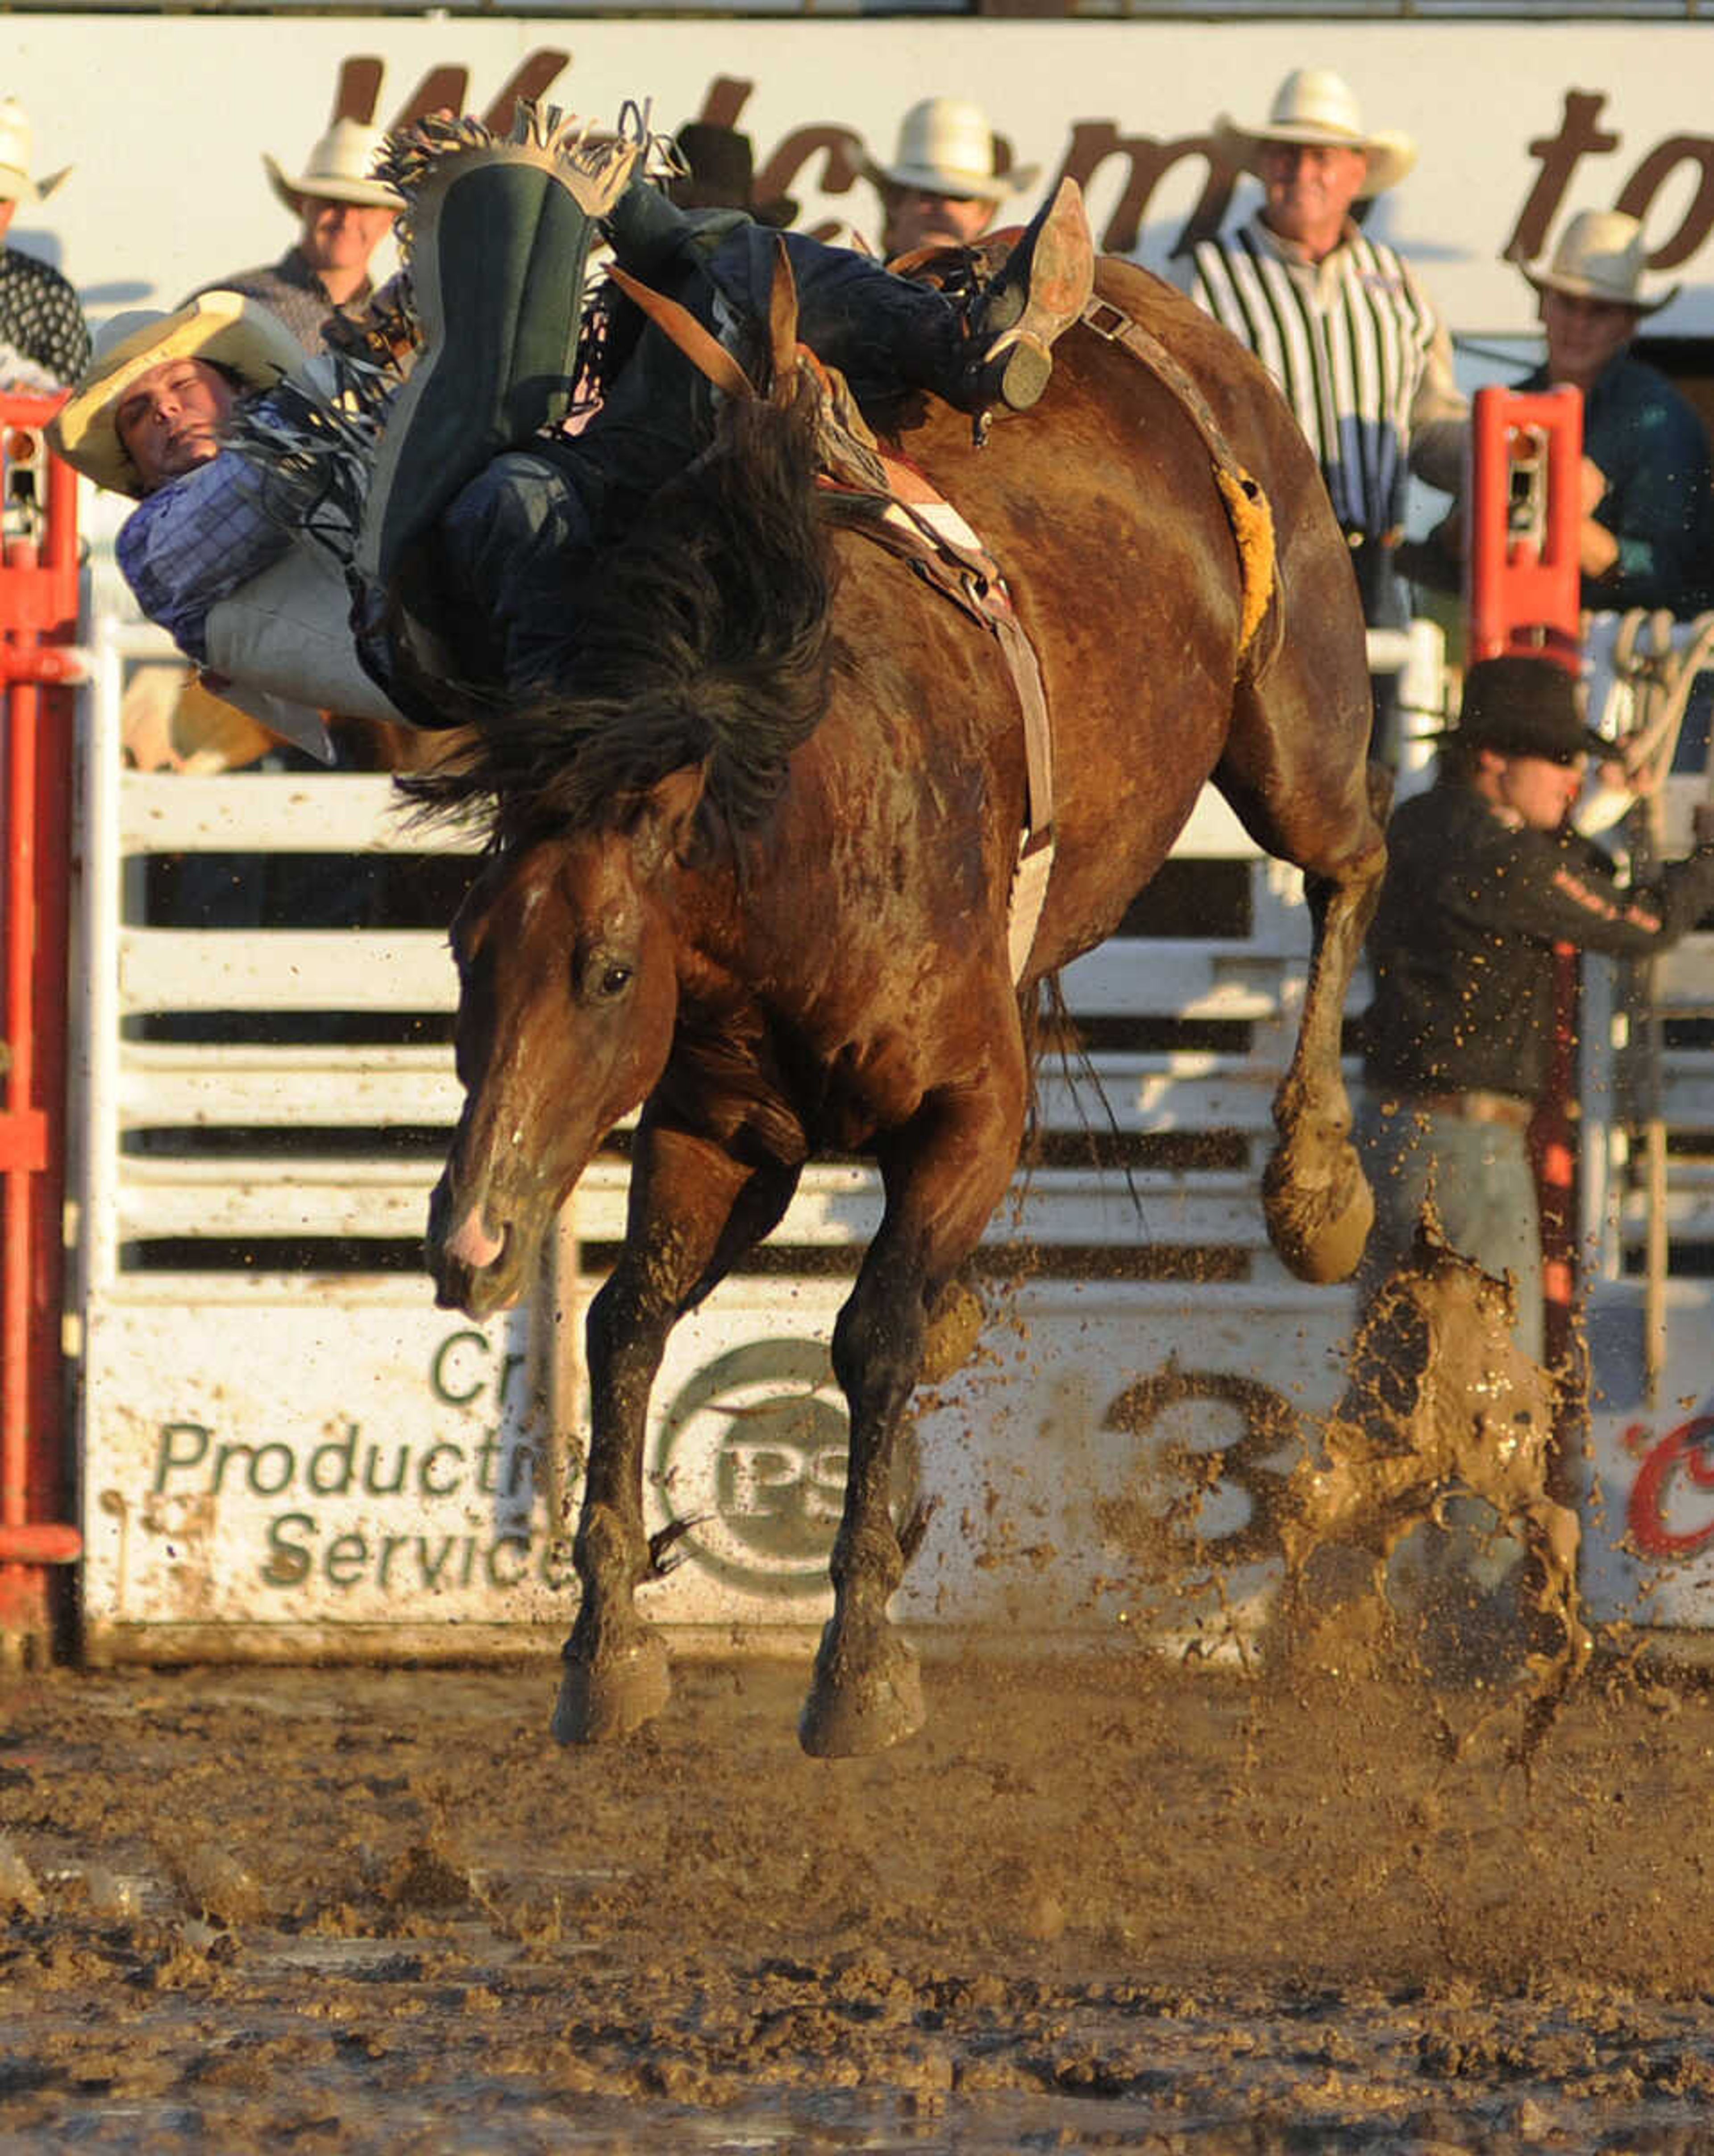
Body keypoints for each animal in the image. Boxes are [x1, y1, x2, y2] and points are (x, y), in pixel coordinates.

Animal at [405, 261, 1397, 1759]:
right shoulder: (718, 1134)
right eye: (463, 951)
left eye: (611, 971)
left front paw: (860, 1663)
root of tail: (1133, 294)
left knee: (1350, 859)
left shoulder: (970, 1110)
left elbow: (864, 1336)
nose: (470, 1240)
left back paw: (1317, 1185)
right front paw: (610, 1644)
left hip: (1295, 723)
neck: (806, 837)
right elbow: (626, 1321)